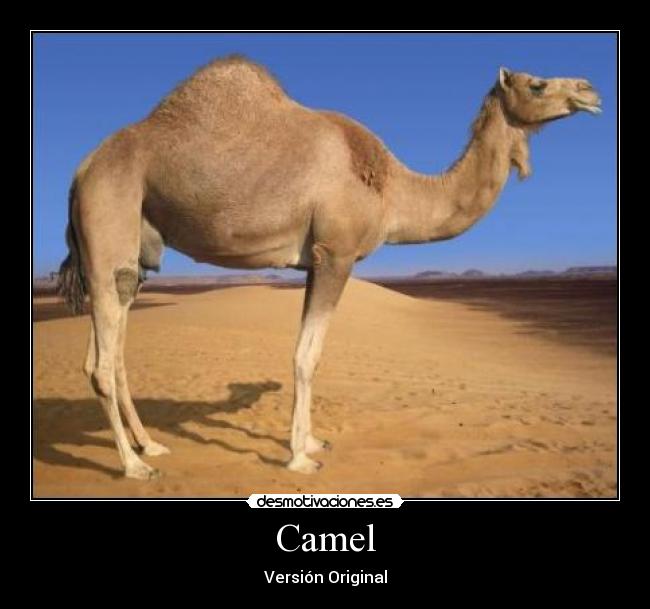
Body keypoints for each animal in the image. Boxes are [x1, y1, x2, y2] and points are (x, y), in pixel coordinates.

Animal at [57, 56, 601, 478]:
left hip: (134, 253)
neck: (394, 188)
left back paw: (150, 444)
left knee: (112, 350)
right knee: (101, 362)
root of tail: (80, 172)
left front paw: (312, 441)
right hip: (109, 219)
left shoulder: (314, 262)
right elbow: (306, 356)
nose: (590, 90)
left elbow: (309, 353)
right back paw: (134, 465)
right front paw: (300, 458)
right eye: (537, 83)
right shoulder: (336, 254)